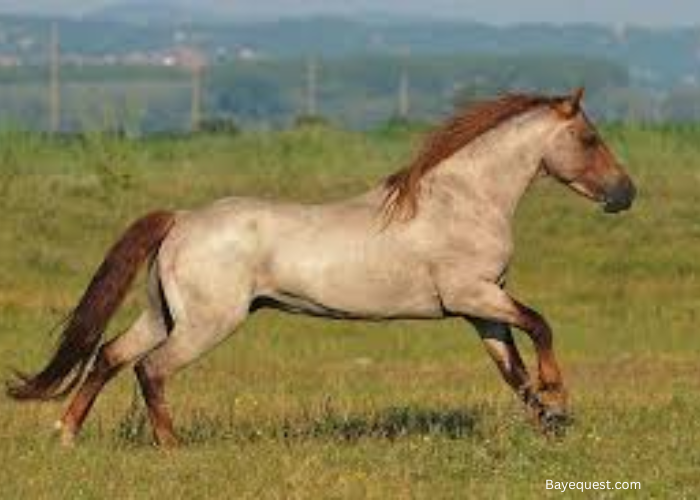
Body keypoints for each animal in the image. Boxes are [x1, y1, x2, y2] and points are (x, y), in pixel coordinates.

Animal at [9, 89, 636, 446]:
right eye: (589, 137)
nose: (625, 194)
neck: (464, 199)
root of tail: (182, 219)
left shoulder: (481, 308)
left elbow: (512, 371)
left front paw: (552, 423)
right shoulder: (472, 295)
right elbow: (541, 325)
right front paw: (558, 396)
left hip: (164, 314)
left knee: (109, 355)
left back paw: (65, 434)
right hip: (208, 323)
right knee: (152, 369)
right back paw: (172, 447)